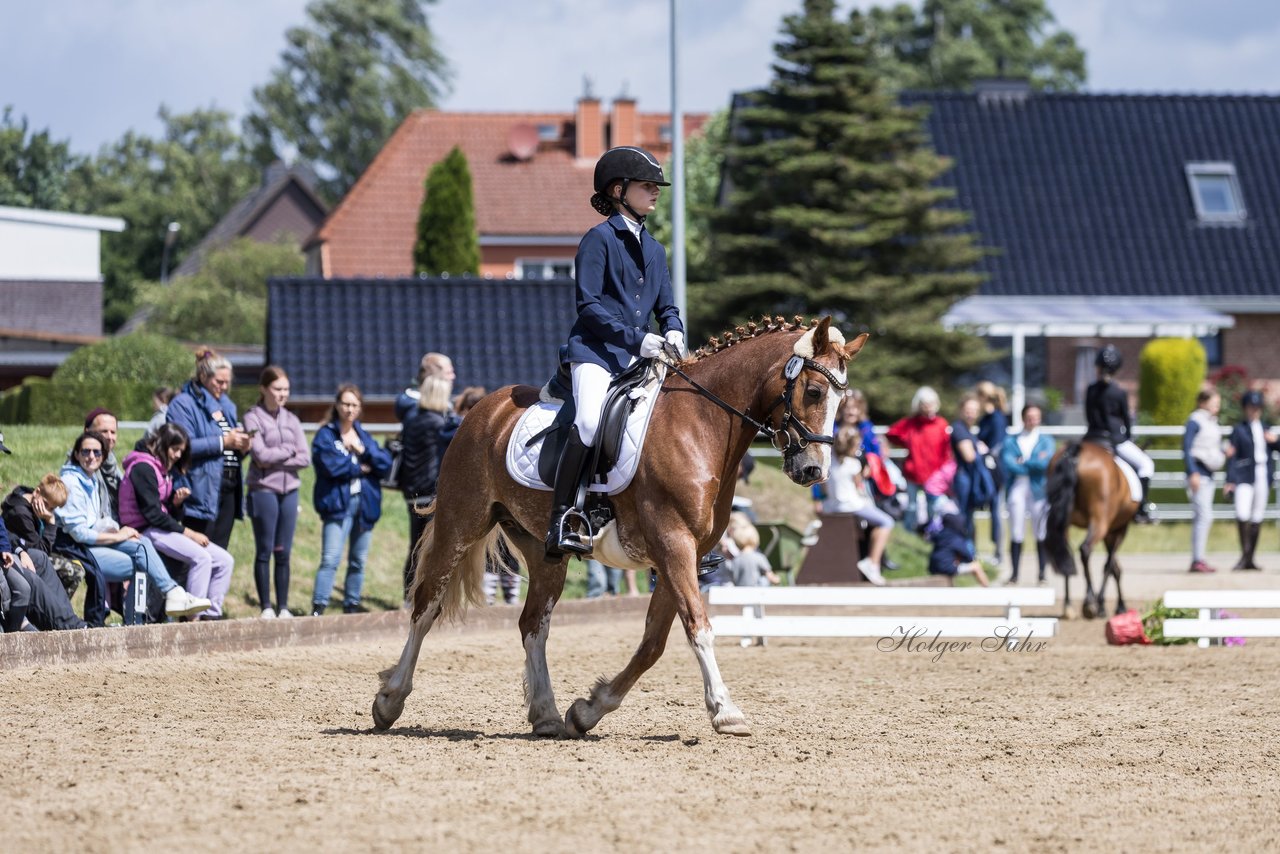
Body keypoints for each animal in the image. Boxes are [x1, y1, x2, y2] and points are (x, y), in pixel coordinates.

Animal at [373, 317, 870, 737]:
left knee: (533, 624)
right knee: (425, 608)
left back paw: (546, 715)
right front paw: (726, 712)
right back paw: (389, 701)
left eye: (841, 399)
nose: (813, 470)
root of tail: (481, 410)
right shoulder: (673, 544)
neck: (701, 424)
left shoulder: (681, 555)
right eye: (812, 391)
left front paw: (588, 710)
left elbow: (653, 643)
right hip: (461, 524)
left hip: (544, 551)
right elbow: (699, 627)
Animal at [1044, 445, 1136, 617]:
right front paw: (1110, 605)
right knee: (1085, 549)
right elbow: (1110, 566)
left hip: (1064, 523)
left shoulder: (1111, 532)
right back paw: (1090, 603)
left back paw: (1069, 606)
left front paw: (1110, 605)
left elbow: (1113, 566)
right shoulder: (1119, 529)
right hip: (1099, 521)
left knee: (1067, 554)